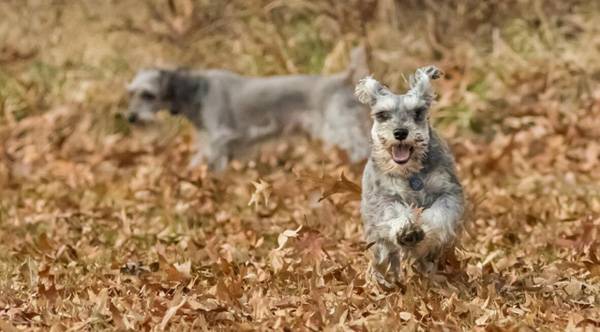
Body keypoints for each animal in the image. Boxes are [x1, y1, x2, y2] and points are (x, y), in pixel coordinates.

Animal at [126, 48, 370, 170]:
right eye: (130, 93)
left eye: (147, 94)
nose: (130, 117)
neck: (197, 92)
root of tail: (341, 79)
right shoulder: (210, 145)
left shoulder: (220, 140)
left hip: (340, 130)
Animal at [356, 66, 464, 286]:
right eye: (382, 114)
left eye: (418, 112)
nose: (400, 132)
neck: (411, 174)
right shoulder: (383, 199)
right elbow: (395, 213)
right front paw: (407, 231)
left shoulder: (448, 193)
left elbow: (439, 214)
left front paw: (420, 230)